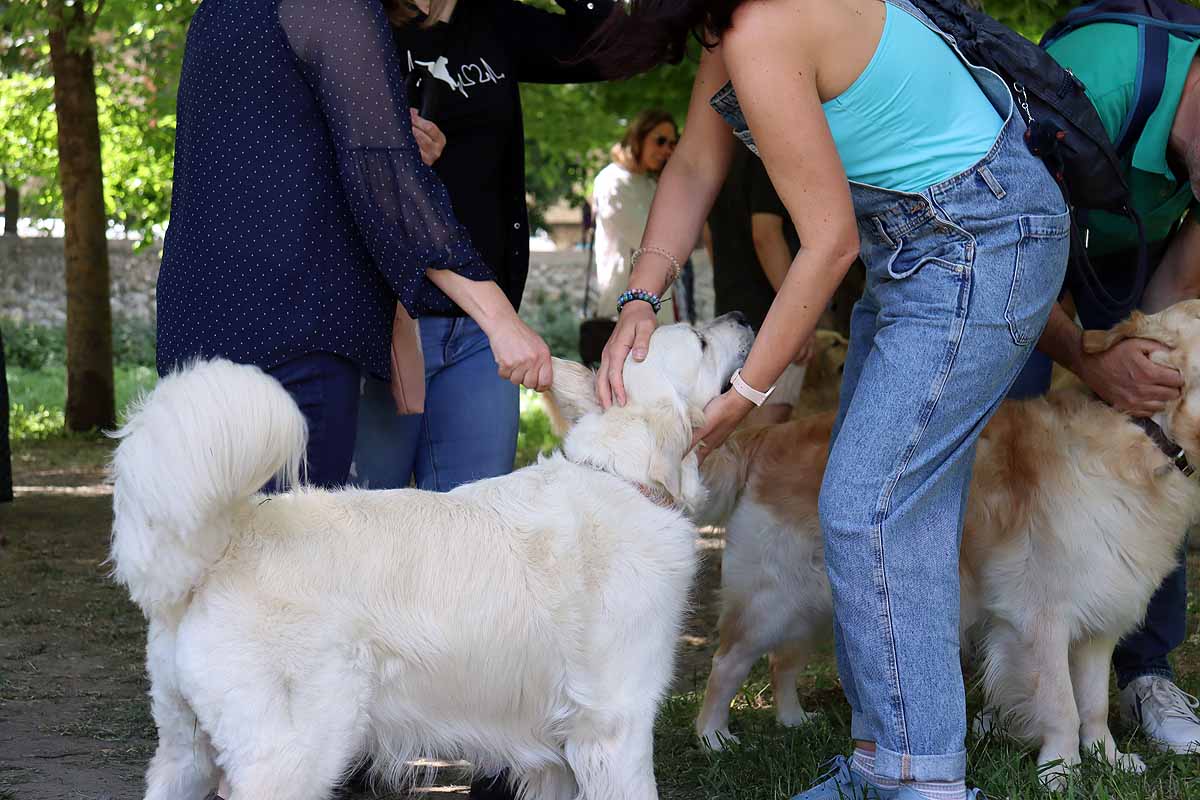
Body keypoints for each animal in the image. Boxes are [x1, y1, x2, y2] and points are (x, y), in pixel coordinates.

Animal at [110, 314, 748, 800]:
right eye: (699, 341)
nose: (743, 317)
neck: (624, 475)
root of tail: (225, 545)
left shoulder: (558, 757)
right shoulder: (615, 727)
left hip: (187, 757)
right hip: (294, 757)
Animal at [691, 303, 1200, 786]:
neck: (1145, 441)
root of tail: (768, 435)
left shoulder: (1100, 619)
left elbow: (1092, 705)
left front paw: (1108, 759)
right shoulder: (1041, 619)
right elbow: (1062, 705)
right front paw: (1061, 769)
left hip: (814, 601)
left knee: (784, 660)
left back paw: (793, 718)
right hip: (770, 599)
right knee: (725, 664)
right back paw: (713, 736)